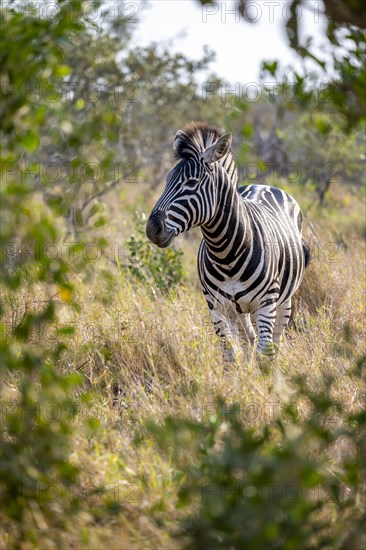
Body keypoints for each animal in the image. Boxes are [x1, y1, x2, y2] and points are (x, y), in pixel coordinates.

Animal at [144, 122, 310, 364]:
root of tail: (262, 184)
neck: (225, 252)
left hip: (283, 300)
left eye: (191, 182)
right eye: (166, 181)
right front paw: (239, 375)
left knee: (276, 340)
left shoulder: (265, 305)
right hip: (239, 310)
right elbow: (230, 356)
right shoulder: (216, 307)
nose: (152, 229)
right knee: (248, 338)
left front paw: (264, 375)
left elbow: (264, 354)